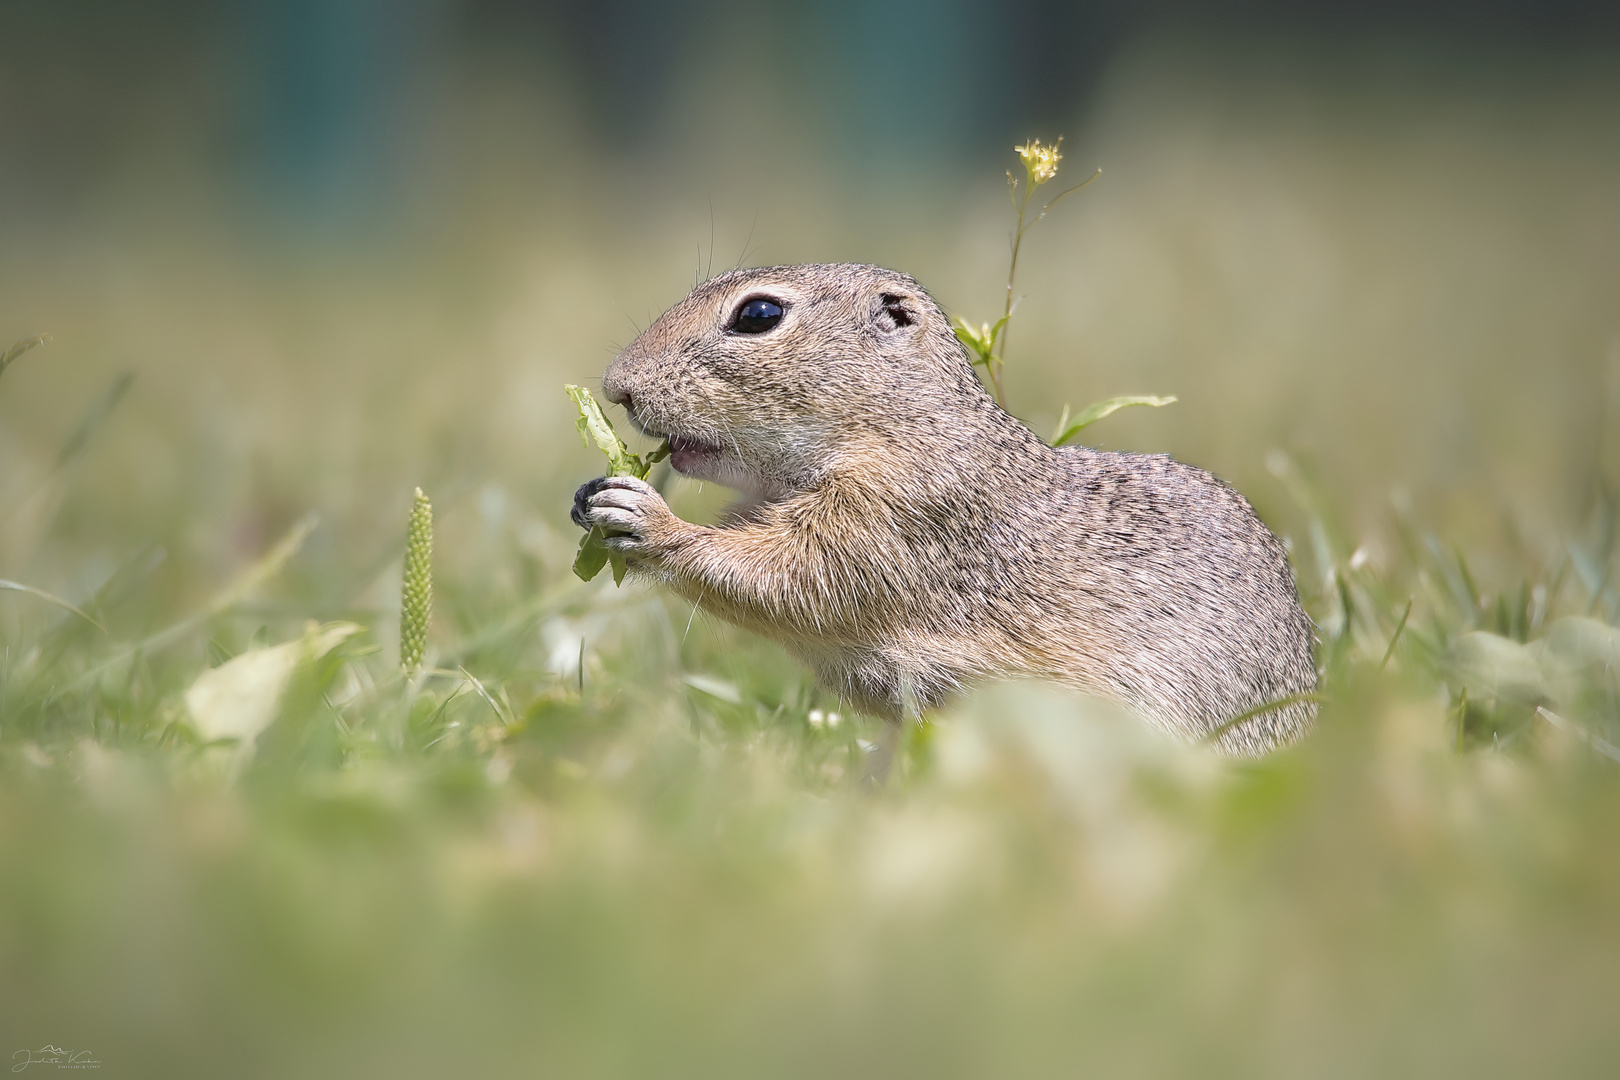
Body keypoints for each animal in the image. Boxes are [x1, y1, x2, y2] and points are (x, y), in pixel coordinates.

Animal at [570, 263, 1315, 751]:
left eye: (758, 315)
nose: (616, 386)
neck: (899, 422)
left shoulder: (899, 513)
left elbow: (787, 576)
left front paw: (647, 518)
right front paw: (587, 496)